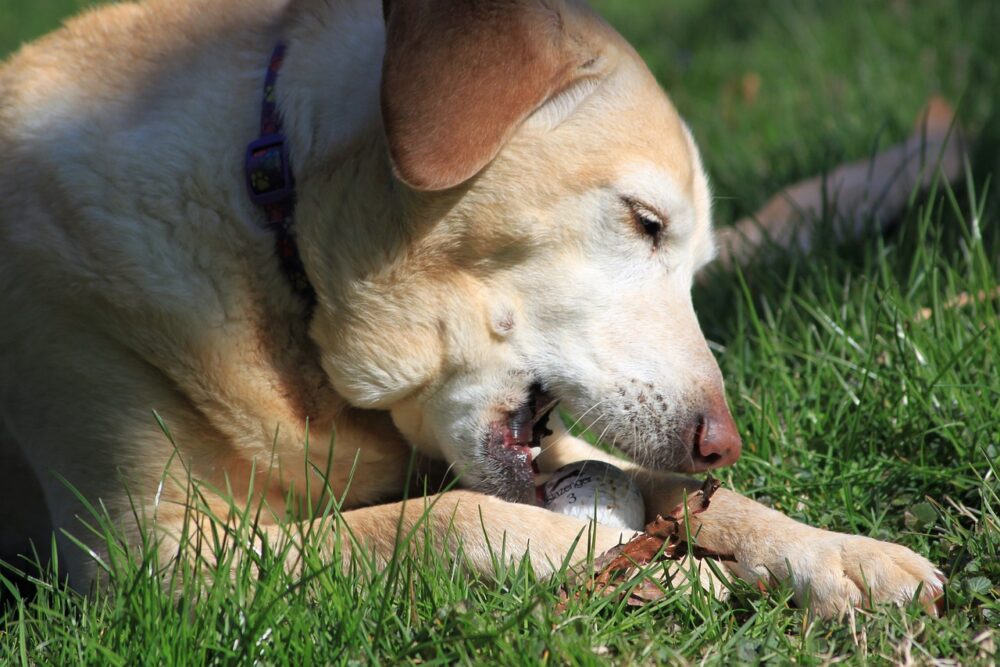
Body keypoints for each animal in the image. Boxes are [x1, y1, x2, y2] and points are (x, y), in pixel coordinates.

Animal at [0, 0, 940, 620]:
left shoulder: (550, 444)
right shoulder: (152, 555)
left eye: (695, 266)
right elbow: (444, 516)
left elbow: (697, 495)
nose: (724, 441)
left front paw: (836, 551)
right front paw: (643, 566)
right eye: (645, 220)